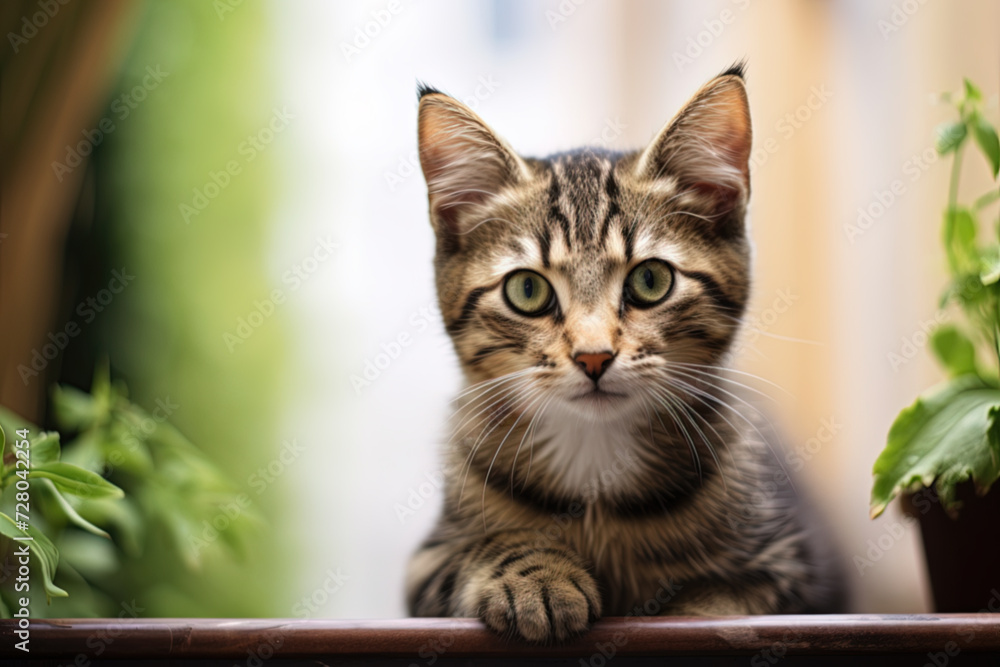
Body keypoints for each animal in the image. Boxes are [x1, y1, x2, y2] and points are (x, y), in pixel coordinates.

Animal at [406, 66, 844, 640]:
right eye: (527, 290)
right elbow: (480, 549)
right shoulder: (425, 563)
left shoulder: (794, 570)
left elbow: (720, 604)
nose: (593, 357)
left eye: (651, 280)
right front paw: (536, 577)